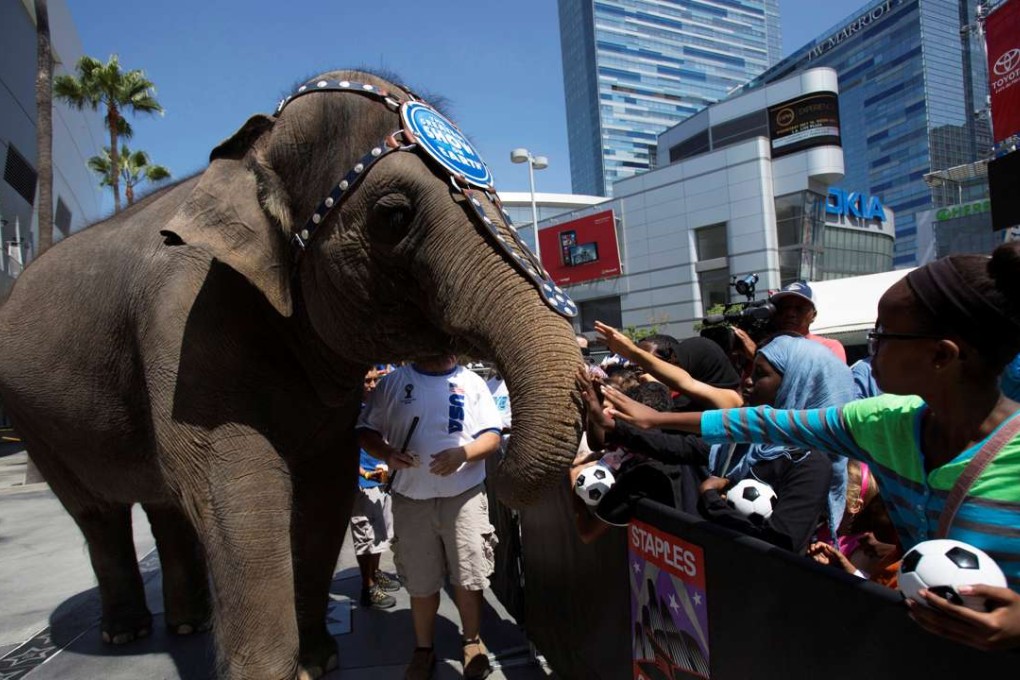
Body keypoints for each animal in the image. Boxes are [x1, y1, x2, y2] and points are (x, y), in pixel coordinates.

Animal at [0, 69, 583, 679]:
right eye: (394, 216)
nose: (496, 455)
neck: (254, 147)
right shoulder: (181, 326)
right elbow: (238, 495)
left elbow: (326, 486)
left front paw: (320, 661)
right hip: (35, 422)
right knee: (98, 514)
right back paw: (126, 633)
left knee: (162, 507)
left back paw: (187, 625)